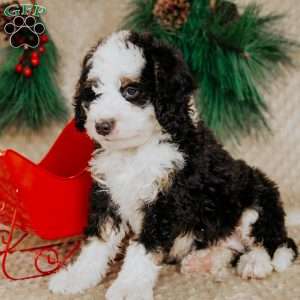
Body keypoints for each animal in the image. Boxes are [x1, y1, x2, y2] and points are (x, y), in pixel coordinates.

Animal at [49, 30, 298, 298]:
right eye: (94, 92)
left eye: (131, 91)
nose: (102, 125)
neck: (135, 151)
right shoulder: (107, 194)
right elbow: (98, 241)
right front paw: (77, 277)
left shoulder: (167, 198)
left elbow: (144, 247)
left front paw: (129, 286)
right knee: (230, 248)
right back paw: (203, 260)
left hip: (255, 198)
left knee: (274, 243)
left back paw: (255, 263)